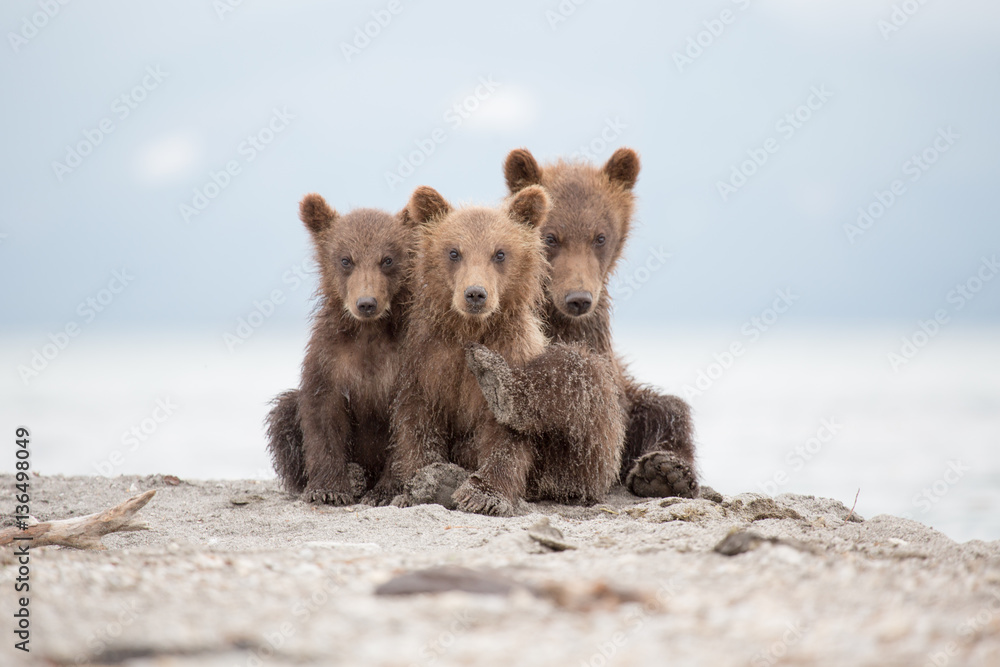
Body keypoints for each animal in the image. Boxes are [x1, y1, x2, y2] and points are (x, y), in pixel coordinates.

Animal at [265, 193, 414, 504]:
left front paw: (386, 491)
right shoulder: (329, 357)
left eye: (388, 259)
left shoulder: (404, 359)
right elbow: (323, 416)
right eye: (346, 259)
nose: (366, 303)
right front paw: (328, 489)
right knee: (285, 412)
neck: (369, 332)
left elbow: (405, 422)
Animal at [365, 184, 626, 516]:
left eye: (499, 253)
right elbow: (417, 422)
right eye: (454, 252)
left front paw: (483, 494)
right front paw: (418, 484)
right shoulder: (426, 360)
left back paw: (500, 385)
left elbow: (505, 436)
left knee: (583, 372)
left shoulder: (510, 348)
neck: (470, 330)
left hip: (583, 463)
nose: (476, 294)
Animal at [464, 147, 700, 499]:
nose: (578, 298)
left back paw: (665, 471)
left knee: (666, 407)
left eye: (599, 237)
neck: (559, 319)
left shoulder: (593, 335)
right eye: (551, 237)